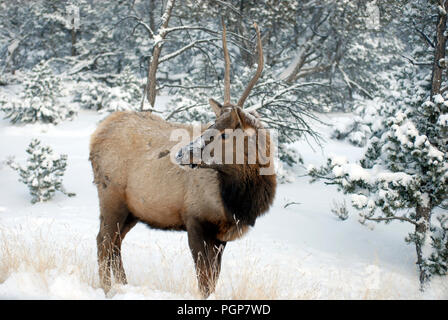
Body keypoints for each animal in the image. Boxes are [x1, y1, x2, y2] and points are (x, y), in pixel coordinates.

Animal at [89, 21, 274, 298]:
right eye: (211, 123)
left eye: (225, 132)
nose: (182, 153)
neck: (239, 201)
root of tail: (96, 135)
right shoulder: (195, 220)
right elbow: (204, 280)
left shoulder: (221, 236)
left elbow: (213, 279)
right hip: (111, 196)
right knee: (103, 241)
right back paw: (108, 289)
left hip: (133, 209)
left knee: (115, 243)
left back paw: (123, 285)